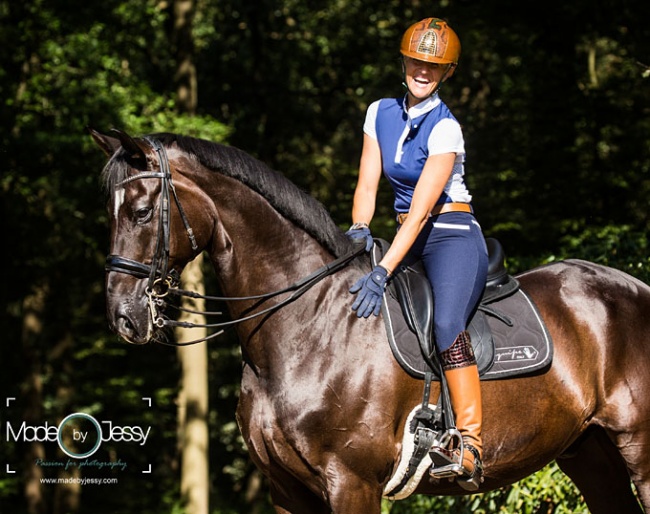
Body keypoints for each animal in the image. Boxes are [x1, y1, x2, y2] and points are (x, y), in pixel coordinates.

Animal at [91, 129, 648, 512]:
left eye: (141, 212)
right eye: (111, 213)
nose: (123, 316)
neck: (306, 325)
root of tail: (635, 288)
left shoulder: (351, 483)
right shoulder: (286, 489)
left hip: (638, 449)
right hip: (590, 453)